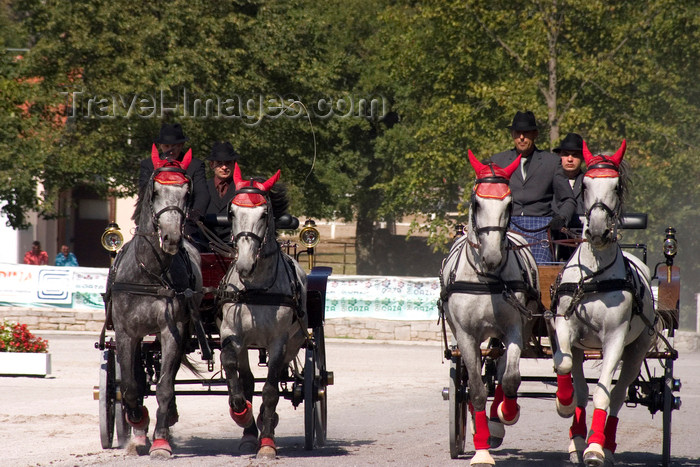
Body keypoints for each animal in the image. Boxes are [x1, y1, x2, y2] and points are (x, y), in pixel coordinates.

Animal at [438, 152, 540, 466]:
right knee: (478, 382)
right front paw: (481, 450)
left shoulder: (515, 329)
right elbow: (476, 391)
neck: (486, 278)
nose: (492, 256)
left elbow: (510, 379)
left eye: (509, 203)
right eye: (476, 203)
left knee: (501, 370)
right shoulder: (466, 336)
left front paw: (507, 413)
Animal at [552, 141, 656, 466]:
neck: (595, 275)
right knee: (582, 384)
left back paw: (606, 445)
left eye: (617, 186)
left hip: (637, 349)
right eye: (585, 185)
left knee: (619, 394)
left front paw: (595, 448)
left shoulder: (615, 339)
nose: (597, 231)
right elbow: (564, 365)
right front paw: (564, 405)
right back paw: (576, 440)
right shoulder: (565, 327)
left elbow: (603, 394)